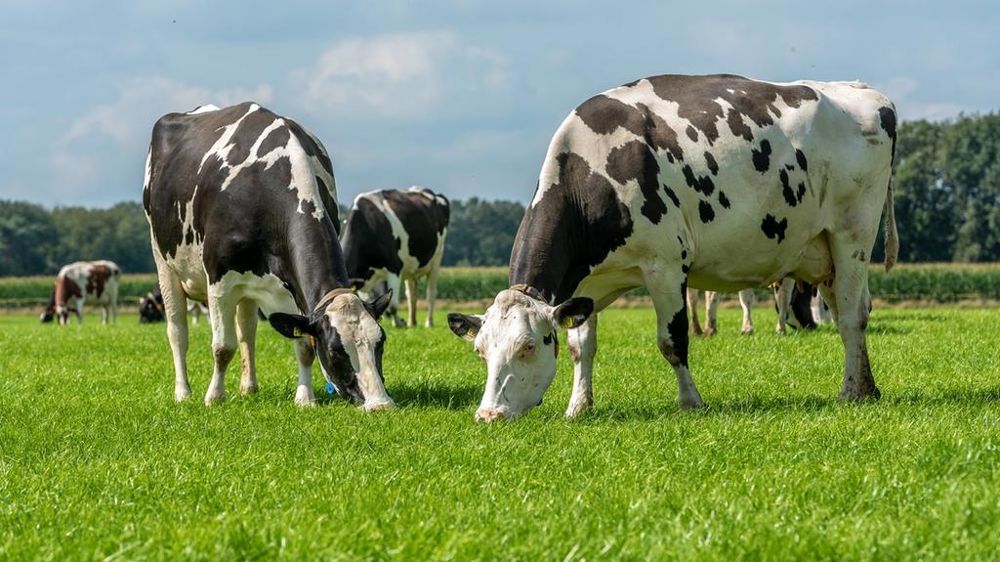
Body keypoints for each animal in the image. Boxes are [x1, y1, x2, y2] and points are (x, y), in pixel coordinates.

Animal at [143, 102, 394, 409]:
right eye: (336, 350)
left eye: (380, 341)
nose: (380, 404)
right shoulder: (219, 280)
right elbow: (221, 347)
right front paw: (214, 397)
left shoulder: (291, 290)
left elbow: (303, 345)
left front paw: (305, 398)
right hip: (163, 261)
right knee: (177, 330)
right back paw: (183, 393)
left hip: (249, 287)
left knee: (246, 330)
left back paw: (248, 387)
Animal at [340, 187, 449, 328]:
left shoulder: (395, 267)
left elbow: (392, 306)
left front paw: (398, 324)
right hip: (411, 266)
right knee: (411, 294)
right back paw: (412, 321)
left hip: (436, 260)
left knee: (431, 293)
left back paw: (428, 323)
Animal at [448, 74, 898, 422]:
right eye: (480, 350)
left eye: (528, 346)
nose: (489, 415)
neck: (592, 170)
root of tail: (864, 91)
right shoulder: (586, 284)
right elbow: (580, 347)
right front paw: (578, 407)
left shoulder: (664, 266)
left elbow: (673, 340)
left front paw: (690, 401)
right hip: (822, 253)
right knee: (850, 310)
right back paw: (867, 386)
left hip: (852, 237)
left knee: (851, 317)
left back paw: (850, 391)